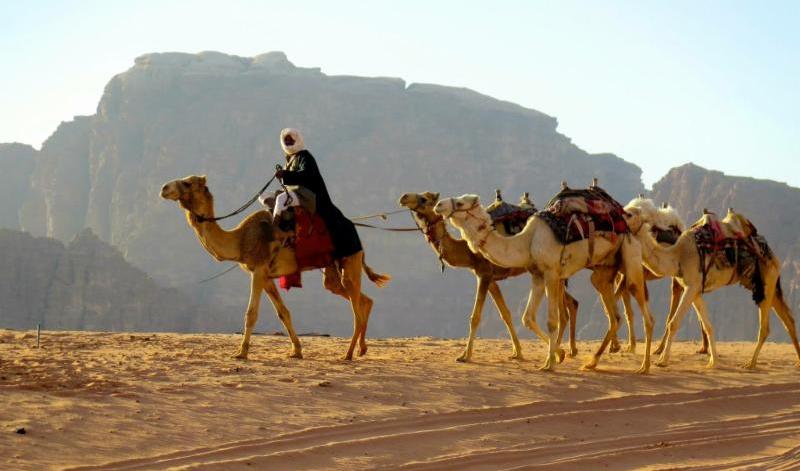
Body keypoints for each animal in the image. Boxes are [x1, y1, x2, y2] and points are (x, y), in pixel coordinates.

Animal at [160, 175, 390, 361]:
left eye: (187, 183)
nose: (164, 188)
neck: (240, 240)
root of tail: (356, 232)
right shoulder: (266, 276)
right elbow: (283, 312)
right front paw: (296, 351)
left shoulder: (258, 270)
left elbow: (251, 313)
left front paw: (241, 353)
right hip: (333, 269)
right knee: (361, 299)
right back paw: (361, 349)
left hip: (350, 259)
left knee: (356, 309)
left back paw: (348, 354)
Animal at [399, 191, 580, 362]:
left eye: (424, 199)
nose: (404, 197)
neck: (467, 250)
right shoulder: (491, 279)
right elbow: (505, 314)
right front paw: (517, 352)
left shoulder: (484, 274)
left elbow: (475, 317)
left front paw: (465, 355)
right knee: (572, 303)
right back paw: (568, 350)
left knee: (564, 311)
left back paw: (560, 352)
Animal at [434, 193, 657, 373]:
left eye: (460, 202)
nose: (438, 205)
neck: (527, 241)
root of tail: (631, 224)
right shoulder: (537, 275)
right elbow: (527, 317)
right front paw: (559, 355)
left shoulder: (551, 273)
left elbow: (551, 321)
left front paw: (549, 364)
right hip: (604, 270)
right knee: (614, 316)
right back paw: (592, 362)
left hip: (631, 256)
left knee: (646, 314)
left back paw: (644, 367)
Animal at [627, 207, 800, 369]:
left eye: (629, 214)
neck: (678, 257)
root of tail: (771, 252)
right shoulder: (695, 290)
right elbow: (708, 325)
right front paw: (713, 361)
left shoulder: (691, 286)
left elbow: (674, 322)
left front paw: (662, 360)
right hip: (766, 285)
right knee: (789, 320)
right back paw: (797, 361)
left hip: (766, 281)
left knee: (766, 327)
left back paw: (750, 364)